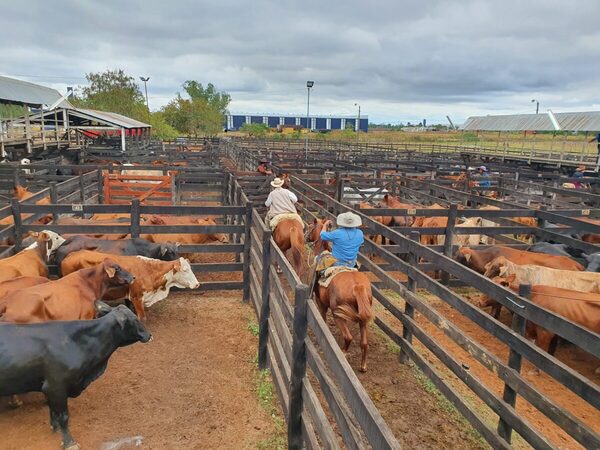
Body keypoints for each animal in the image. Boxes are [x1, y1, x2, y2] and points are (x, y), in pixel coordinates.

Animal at [0, 302, 150, 450]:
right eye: (134, 319)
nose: (149, 335)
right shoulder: (56, 386)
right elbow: (63, 416)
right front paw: (69, 443)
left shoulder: (50, 388)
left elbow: (53, 411)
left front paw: (55, 429)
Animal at [62, 251, 200, 322]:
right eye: (185, 270)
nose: (197, 284)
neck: (149, 270)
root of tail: (70, 255)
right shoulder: (137, 297)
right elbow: (142, 317)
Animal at [308, 219, 372, 372]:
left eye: (310, 226)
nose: (305, 235)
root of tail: (357, 286)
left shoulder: (320, 301)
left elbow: (323, 317)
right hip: (363, 319)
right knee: (364, 343)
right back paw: (363, 366)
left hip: (339, 315)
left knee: (348, 337)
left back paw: (343, 352)